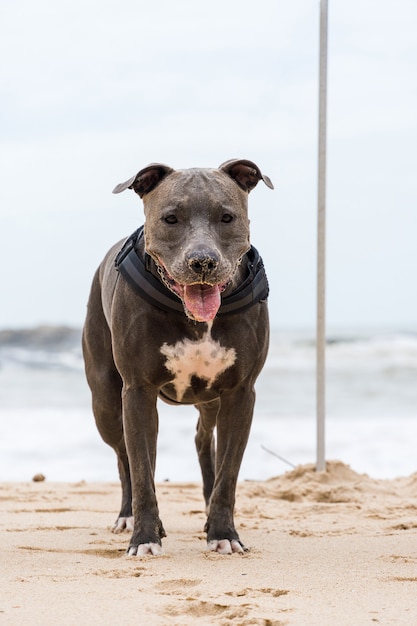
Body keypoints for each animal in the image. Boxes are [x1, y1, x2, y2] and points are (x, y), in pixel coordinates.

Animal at [83, 158, 274, 552]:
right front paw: (145, 537)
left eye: (227, 217)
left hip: (211, 401)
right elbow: (142, 472)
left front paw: (223, 533)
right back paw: (129, 516)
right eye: (170, 218)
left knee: (203, 438)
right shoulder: (137, 391)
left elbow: (229, 473)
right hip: (107, 402)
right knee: (126, 458)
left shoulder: (240, 394)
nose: (202, 261)